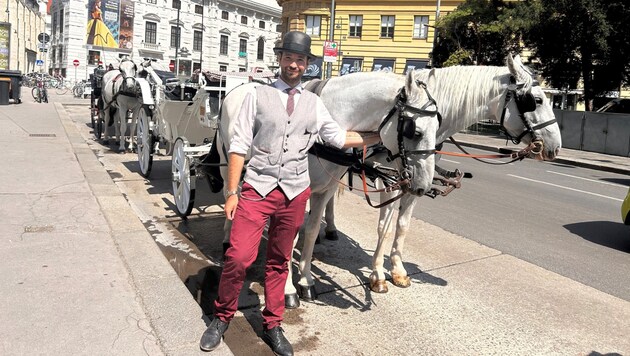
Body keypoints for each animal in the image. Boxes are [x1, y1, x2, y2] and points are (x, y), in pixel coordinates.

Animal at [320, 54, 564, 294]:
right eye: (537, 101)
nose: (556, 147)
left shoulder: (415, 182)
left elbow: (402, 226)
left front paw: (398, 271)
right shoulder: (388, 180)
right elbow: (385, 228)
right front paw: (378, 276)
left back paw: (330, 228)